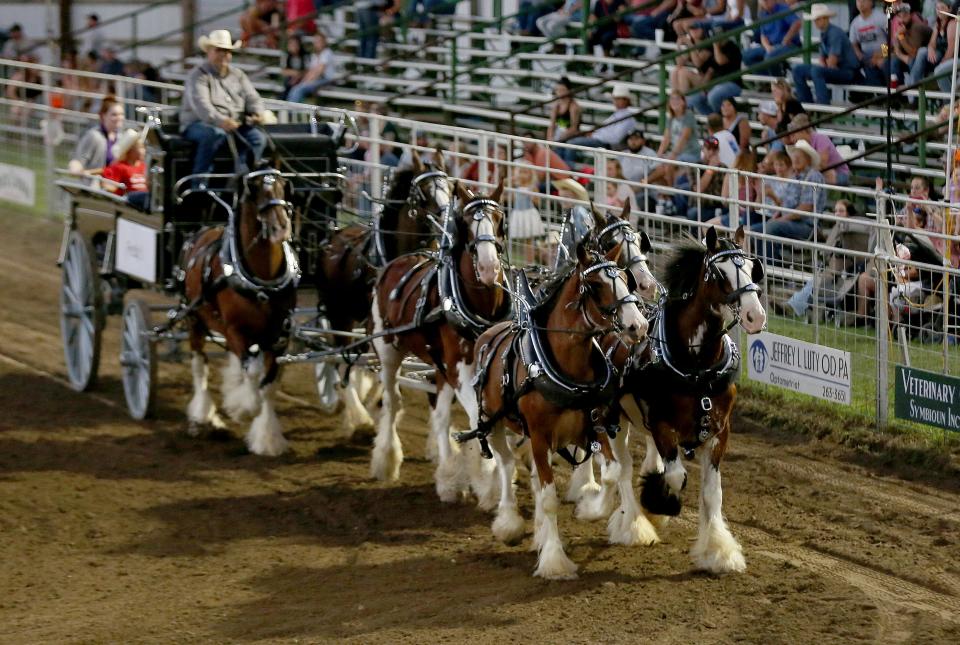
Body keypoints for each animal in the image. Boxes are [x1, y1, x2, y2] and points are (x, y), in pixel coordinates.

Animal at [316, 150, 450, 432]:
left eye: (448, 186)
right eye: (424, 192)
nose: (446, 219)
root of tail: (332, 237)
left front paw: (377, 401)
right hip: (338, 312)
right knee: (340, 356)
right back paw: (356, 410)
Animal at [372, 179, 512, 506]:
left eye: (500, 219)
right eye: (467, 225)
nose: (488, 268)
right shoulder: (459, 367)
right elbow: (476, 419)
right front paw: (487, 482)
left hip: (438, 365)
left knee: (439, 415)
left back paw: (447, 474)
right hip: (388, 350)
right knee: (393, 401)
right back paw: (388, 460)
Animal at [470, 240, 644, 580]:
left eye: (624, 279)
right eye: (595, 285)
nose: (639, 325)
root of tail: (489, 333)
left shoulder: (595, 427)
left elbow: (612, 473)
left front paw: (592, 510)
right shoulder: (538, 436)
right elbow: (549, 498)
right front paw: (554, 560)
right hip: (493, 424)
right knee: (506, 464)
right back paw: (509, 522)